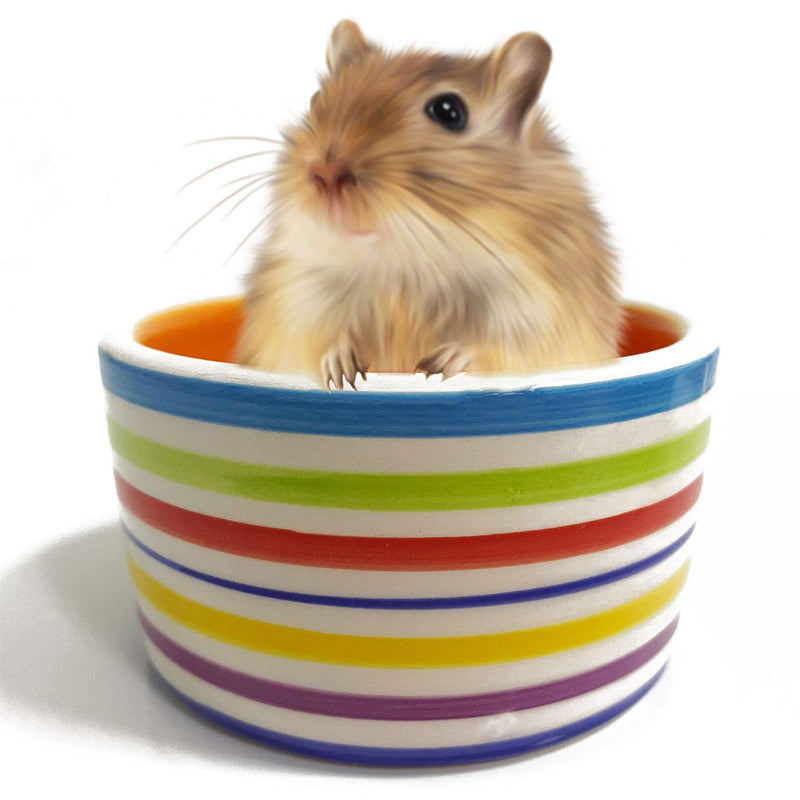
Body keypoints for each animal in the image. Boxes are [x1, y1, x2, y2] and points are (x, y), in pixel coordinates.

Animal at [237, 20, 621, 389]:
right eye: (317, 99)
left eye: (449, 112)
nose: (325, 172)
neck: (404, 269)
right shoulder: (292, 304)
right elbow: (311, 340)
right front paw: (340, 366)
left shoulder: (542, 317)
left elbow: (503, 352)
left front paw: (443, 363)